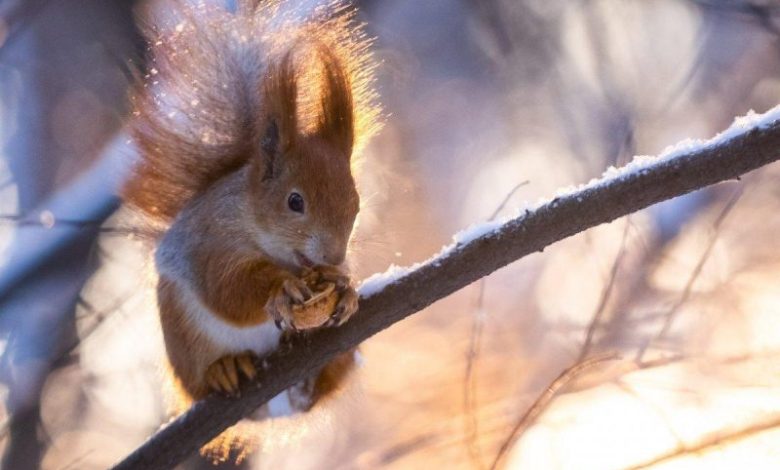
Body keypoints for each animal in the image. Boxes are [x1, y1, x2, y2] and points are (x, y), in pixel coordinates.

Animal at [121, 0, 380, 462]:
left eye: (356, 203)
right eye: (294, 202)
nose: (333, 257)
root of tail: (276, 409)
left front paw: (345, 286)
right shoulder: (211, 245)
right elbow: (227, 291)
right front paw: (282, 289)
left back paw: (314, 376)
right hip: (182, 335)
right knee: (199, 376)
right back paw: (224, 369)